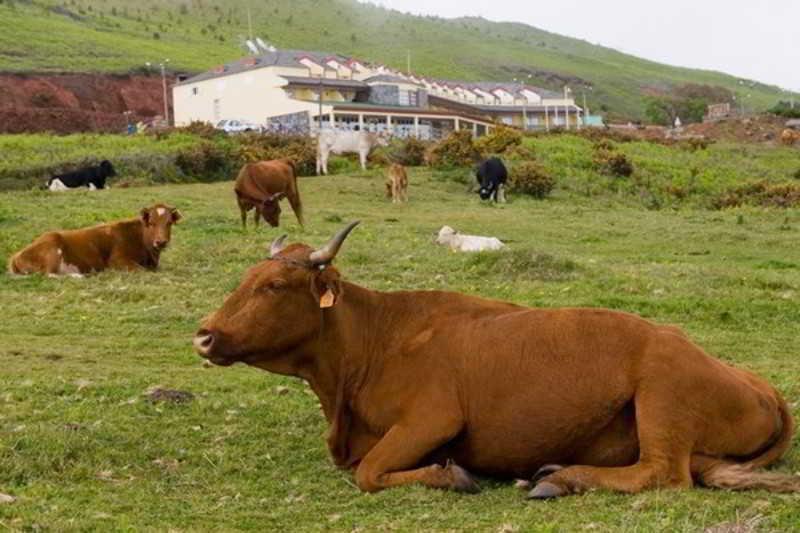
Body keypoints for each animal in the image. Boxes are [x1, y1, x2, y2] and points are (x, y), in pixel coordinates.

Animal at [6, 204, 181, 276]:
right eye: (151, 223)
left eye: (169, 223)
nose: (161, 242)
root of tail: (16, 255)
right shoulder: (118, 261)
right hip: (52, 249)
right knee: (49, 274)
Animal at [194, 222, 800, 496]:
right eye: (246, 277)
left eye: (273, 286)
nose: (203, 336)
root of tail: (761, 385)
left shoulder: (433, 418)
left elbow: (369, 473)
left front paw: (452, 474)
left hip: (662, 394)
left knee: (663, 474)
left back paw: (560, 477)